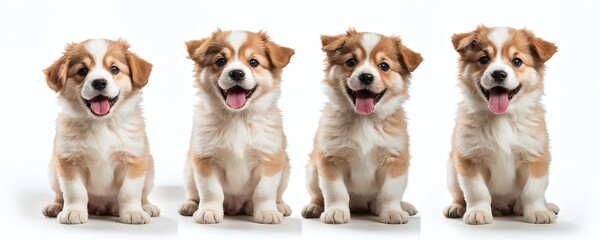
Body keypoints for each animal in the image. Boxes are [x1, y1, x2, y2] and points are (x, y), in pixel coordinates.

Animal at [41, 39, 161, 225]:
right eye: (82, 71)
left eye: (114, 69)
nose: (98, 82)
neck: (101, 124)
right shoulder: (69, 161)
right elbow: (75, 191)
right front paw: (73, 211)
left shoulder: (133, 160)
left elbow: (129, 192)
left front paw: (133, 212)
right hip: (53, 172)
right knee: (59, 195)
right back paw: (55, 207)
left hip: (150, 170)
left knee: (143, 195)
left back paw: (146, 207)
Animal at [178, 30, 296, 225]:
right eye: (220, 61)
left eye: (253, 62)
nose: (236, 73)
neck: (237, 118)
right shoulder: (205, 159)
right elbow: (211, 191)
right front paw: (209, 211)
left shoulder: (270, 160)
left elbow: (264, 191)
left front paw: (267, 212)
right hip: (188, 169)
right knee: (193, 193)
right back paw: (190, 205)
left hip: (285, 169)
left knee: (276, 195)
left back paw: (279, 206)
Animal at [300, 29, 422, 224]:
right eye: (351, 61)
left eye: (384, 66)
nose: (366, 76)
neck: (364, 120)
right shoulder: (330, 159)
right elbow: (335, 192)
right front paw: (336, 211)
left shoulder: (396, 160)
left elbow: (389, 192)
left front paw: (392, 211)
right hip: (311, 170)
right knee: (317, 195)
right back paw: (314, 207)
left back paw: (398, 206)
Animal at [442, 26, 560, 225]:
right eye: (483, 59)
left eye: (517, 61)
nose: (498, 74)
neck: (502, 118)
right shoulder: (469, 158)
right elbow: (476, 191)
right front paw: (478, 212)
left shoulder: (536, 157)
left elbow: (533, 190)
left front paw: (537, 211)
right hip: (451, 169)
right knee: (459, 195)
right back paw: (456, 207)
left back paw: (545, 206)